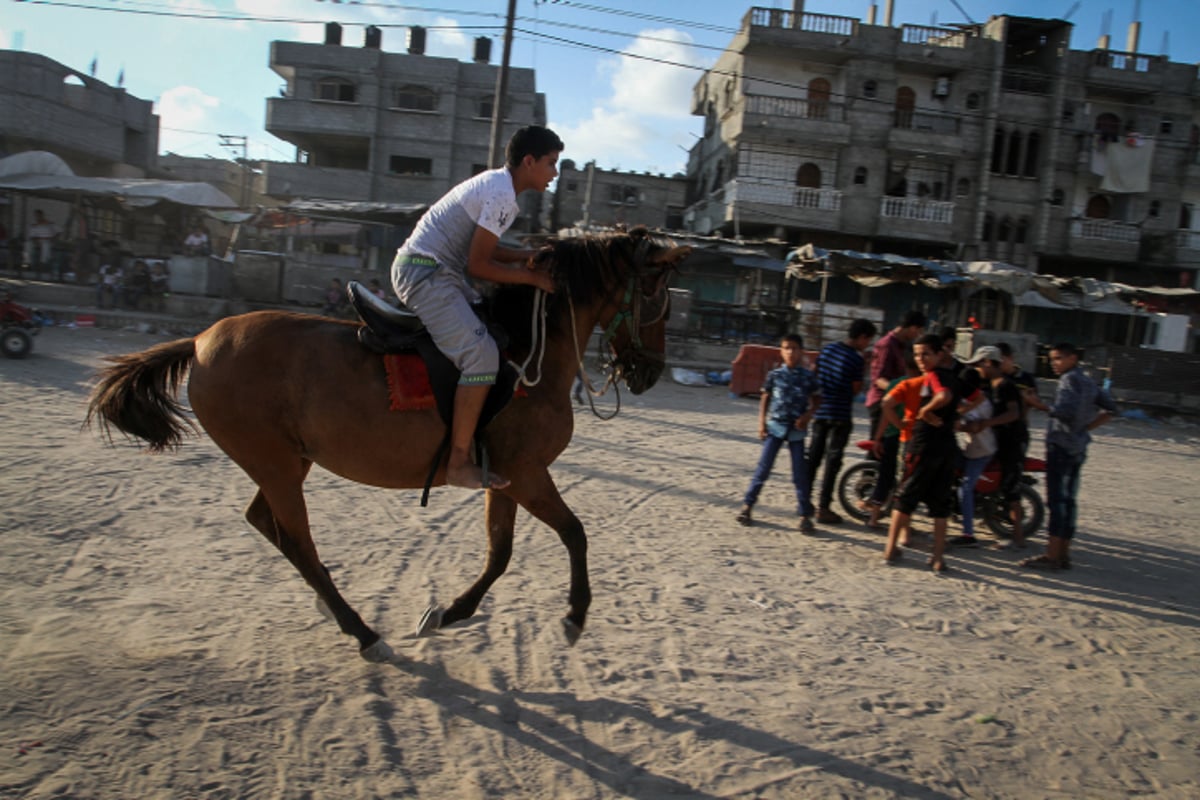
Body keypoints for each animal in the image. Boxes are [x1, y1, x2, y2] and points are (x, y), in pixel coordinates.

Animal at [87, 227, 696, 662]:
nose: (649, 372)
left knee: (269, 525)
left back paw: (334, 607)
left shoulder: (504, 477)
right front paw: (575, 615)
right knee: (297, 540)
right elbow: (574, 533)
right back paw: (361, 631)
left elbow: (499, 554)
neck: (530, 353)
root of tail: (200, 340)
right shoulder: (526, 474)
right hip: (276, 464)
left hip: (287, 463)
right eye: (658, 299)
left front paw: (450, 613)